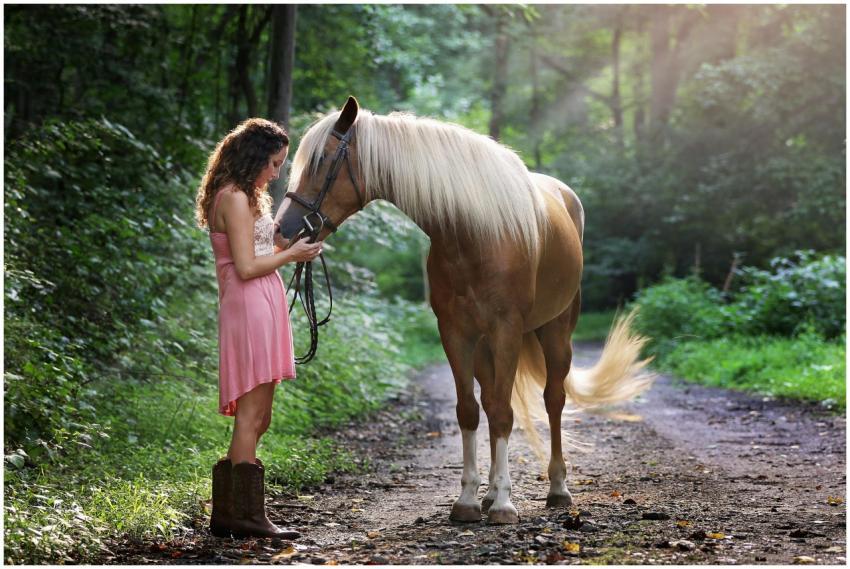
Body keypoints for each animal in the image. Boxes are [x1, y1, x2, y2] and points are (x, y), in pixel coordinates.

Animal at [276, 96, 654, 524]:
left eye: (323, 160)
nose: (282, 230)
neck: (473, 233)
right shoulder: (456, 333)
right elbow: (470, 411)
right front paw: (471, 500)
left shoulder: (507, 330)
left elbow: (505, 412)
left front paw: (505, 505)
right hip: (485, 347)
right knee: (490, 400)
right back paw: (490, 493)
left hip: (556, 332)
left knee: (553, 399)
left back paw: (557, 488)